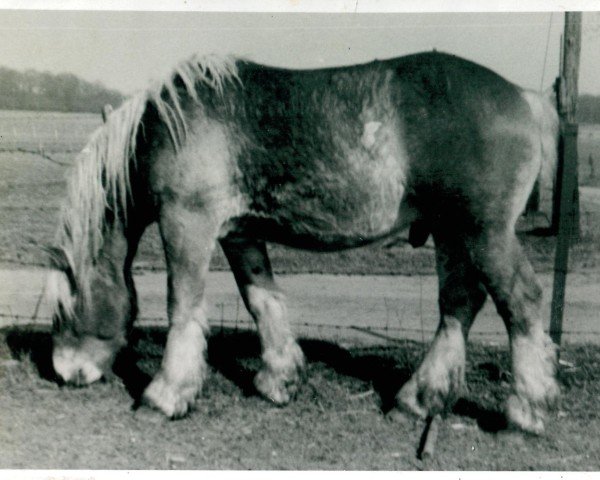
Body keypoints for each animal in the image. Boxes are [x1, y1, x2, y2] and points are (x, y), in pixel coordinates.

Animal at [45, 52, 556, 436]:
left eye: (64, 308)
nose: (64, 372)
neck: (172, 121)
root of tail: (525, 98)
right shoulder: (240, 233)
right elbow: (261, 299)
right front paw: (280, 380)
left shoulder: (187, 222)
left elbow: (183, 308)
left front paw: (166, 394)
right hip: (452, 233)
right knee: (458, 305)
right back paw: (417, 400)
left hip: (484, 234)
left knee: (521, 302)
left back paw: (525, 413)